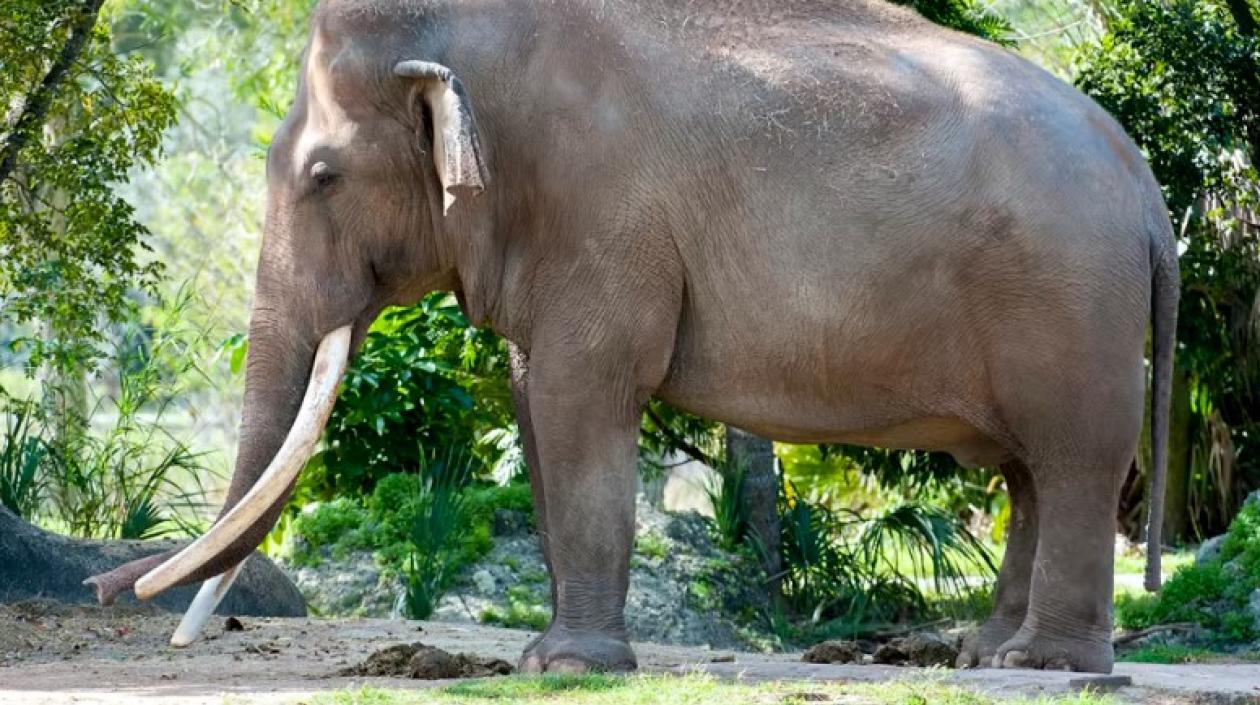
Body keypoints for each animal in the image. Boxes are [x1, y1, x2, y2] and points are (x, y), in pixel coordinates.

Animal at [87, 0, 1179, 675]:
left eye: (321, 176)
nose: (106, 587)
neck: (482, 36)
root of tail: (1146, 188)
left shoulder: (599, 213)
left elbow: (582, 394)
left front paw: (571, 665)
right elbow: (534, 401)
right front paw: (541, 661)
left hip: (1071, 301)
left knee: (1074, 460)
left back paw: (1047, 665)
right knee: (1029, 472)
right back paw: (987, 656)